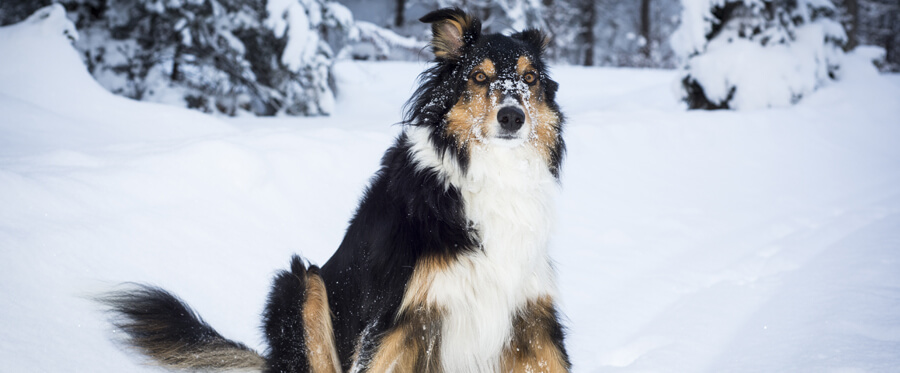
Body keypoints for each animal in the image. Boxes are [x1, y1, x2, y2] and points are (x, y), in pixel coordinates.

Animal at [100, 8, 568, 372]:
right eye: (478, 76)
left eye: (530, 78)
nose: (512, 117)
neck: (492, 173)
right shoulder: (400, 316)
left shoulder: (532, 318)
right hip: (300, 284)